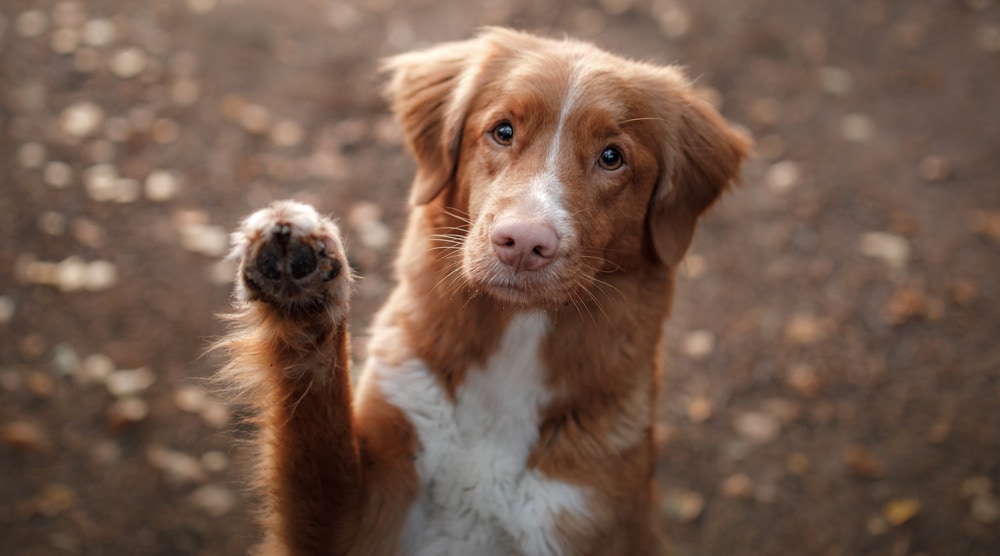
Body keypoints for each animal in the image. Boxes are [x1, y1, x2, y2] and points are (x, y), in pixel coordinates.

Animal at [219, 27, 752, 556]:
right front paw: (301, 283)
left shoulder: (580, 516)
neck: (514, 343)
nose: (524, 243)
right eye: (503, 131)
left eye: (612, 158)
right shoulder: (362, 515)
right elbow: (313, 422)